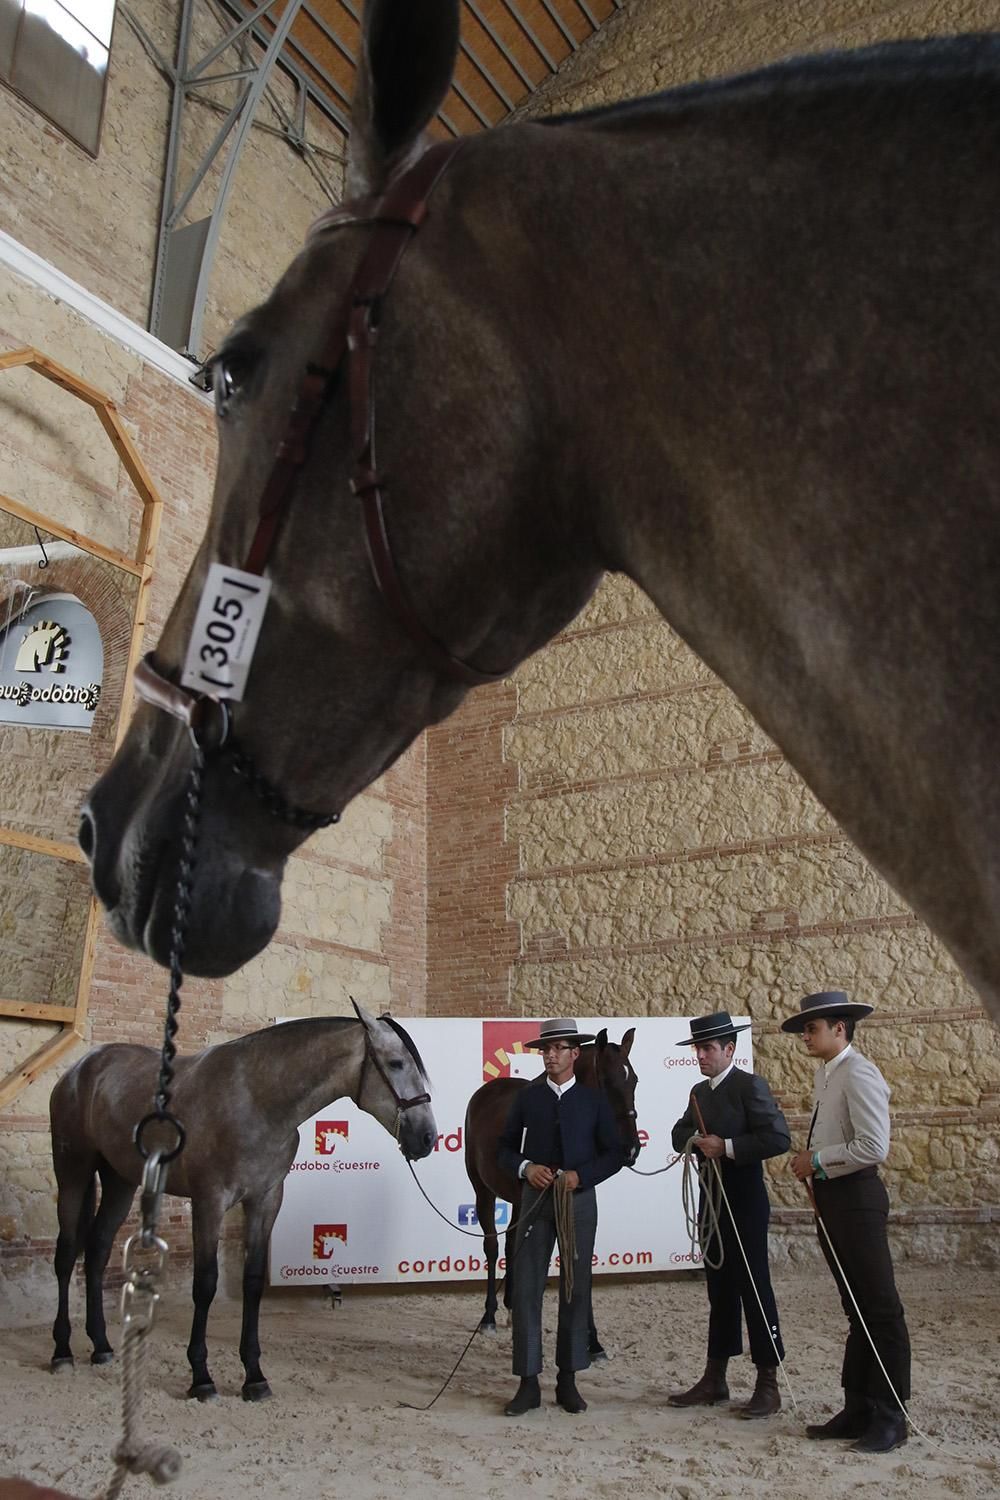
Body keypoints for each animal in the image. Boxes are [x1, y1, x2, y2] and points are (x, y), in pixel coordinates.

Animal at [48, 1002, 434, 1398]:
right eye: (395, 1063)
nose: (426, 1137)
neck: (256, 1100)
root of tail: (81, 1069)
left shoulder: (265, 1201)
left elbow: (252, 1281)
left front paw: (254, 1375)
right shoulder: (209, 1201)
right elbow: (205, 1284)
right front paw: (201, 1377)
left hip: (120, 1181)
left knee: (96, 1251)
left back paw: (101, 1346)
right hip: (73, 1170)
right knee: (66, 1255)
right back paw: (62, 1350)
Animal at [464, 1026, 641, 1344]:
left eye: (633, 1080)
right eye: (608, 1082)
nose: (631, 1149)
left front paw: (592, 1339)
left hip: (519, 1198)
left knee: (511, 1243)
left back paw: (511, 1307)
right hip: (483, 1190)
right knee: (493, 1246)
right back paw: (490, 1315)